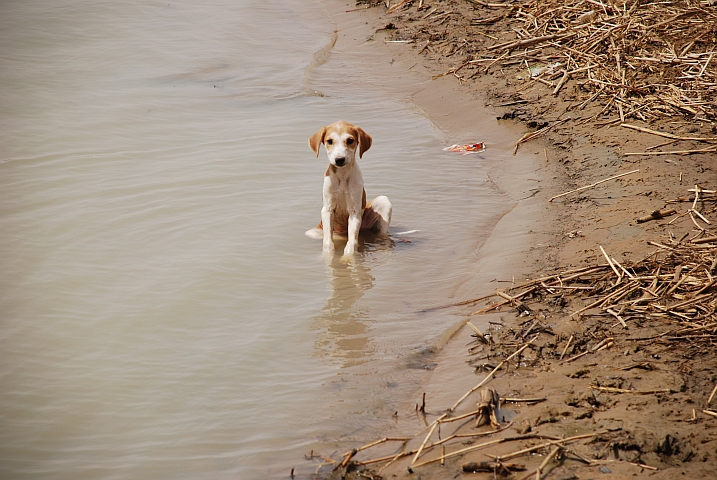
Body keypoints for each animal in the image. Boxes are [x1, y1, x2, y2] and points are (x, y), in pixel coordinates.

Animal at [304, 120, 392, 255]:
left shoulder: (354, 211)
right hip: (314, 232)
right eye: (329, 141)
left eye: (350, 140)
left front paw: (348, 258)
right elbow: (328, 243)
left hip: (383, 203)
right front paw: (329, 257)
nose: (339, 160)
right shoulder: (327, 209)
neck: (342, 176)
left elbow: (351, 244)